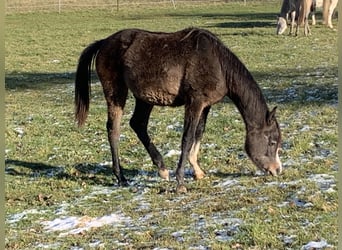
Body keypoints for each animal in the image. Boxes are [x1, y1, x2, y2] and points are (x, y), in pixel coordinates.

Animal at [75, 27, 284, 192]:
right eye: (272, 142)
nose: (277, 170)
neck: (218, 63)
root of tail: (104, 43)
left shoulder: (205, 105)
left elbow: (198, 134)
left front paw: (197, 172)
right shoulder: (195, 102)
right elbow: (187, 138)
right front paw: (181, 183)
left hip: (144, 98)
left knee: (138, 124)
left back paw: (162, 169)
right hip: (116, 92)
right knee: (114, 129)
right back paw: (121, 177)